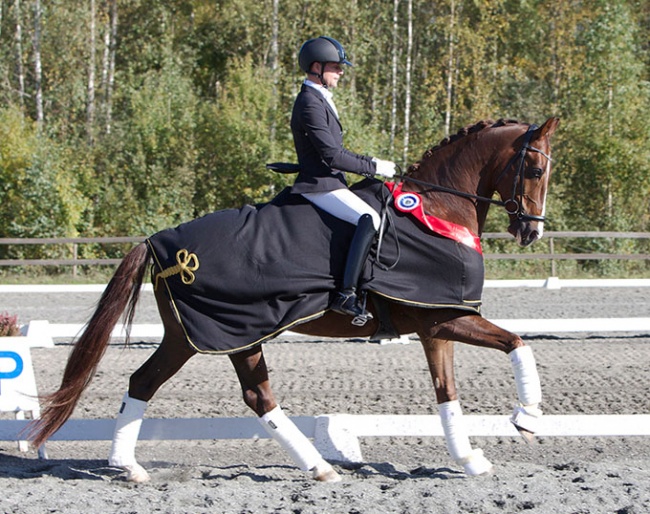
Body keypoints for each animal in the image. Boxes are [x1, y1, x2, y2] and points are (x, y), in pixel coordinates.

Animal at [28, 117, 559, 483]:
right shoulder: (444, 319)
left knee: (173, 385)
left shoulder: (436, 324)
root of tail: (161, 243)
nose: (531, 232)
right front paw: (526, 418)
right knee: (237, 393)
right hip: (220, 332)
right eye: (534, 168)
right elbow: (518, 344)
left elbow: (448, 393)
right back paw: (316, 467)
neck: (435, 210)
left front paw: (470, 459)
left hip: (213, 336)